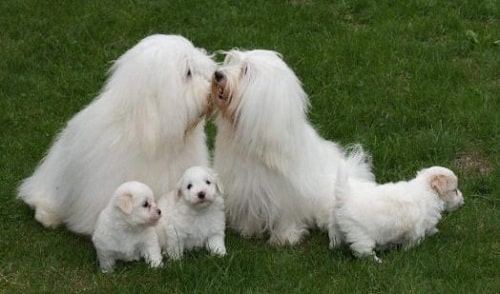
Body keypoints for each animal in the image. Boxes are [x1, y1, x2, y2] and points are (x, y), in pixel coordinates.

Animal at [210, 50, 376, 246]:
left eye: (245, 70)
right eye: (231, 62)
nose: (218, 74)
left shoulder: (286, 193)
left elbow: (286, 215)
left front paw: (285, 238)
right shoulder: (246, 187)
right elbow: (250, 210)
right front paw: (248, 231)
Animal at [328, 164, 464, 262]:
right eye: (455, 190)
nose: (463, 201)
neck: (427, 190)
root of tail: (345, 197)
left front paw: (434, 232)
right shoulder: (417, 229)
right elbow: (414, 240)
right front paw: (408, 250)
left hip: (336, 227)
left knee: (335, 239)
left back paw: (334, 248)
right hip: (361, 234)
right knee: (362, 251)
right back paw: (377, 261)